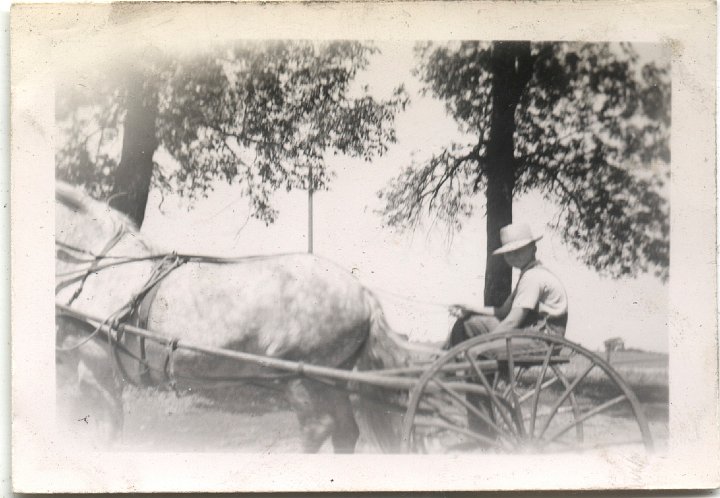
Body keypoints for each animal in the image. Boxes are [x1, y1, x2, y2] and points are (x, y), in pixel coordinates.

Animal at [54, 181, 416, 454]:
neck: (99, 267)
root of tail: (362, 293)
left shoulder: (94, 369)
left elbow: (105, 432)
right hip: (333, 378)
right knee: (345, 433)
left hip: (302, 378)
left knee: (317, 429)